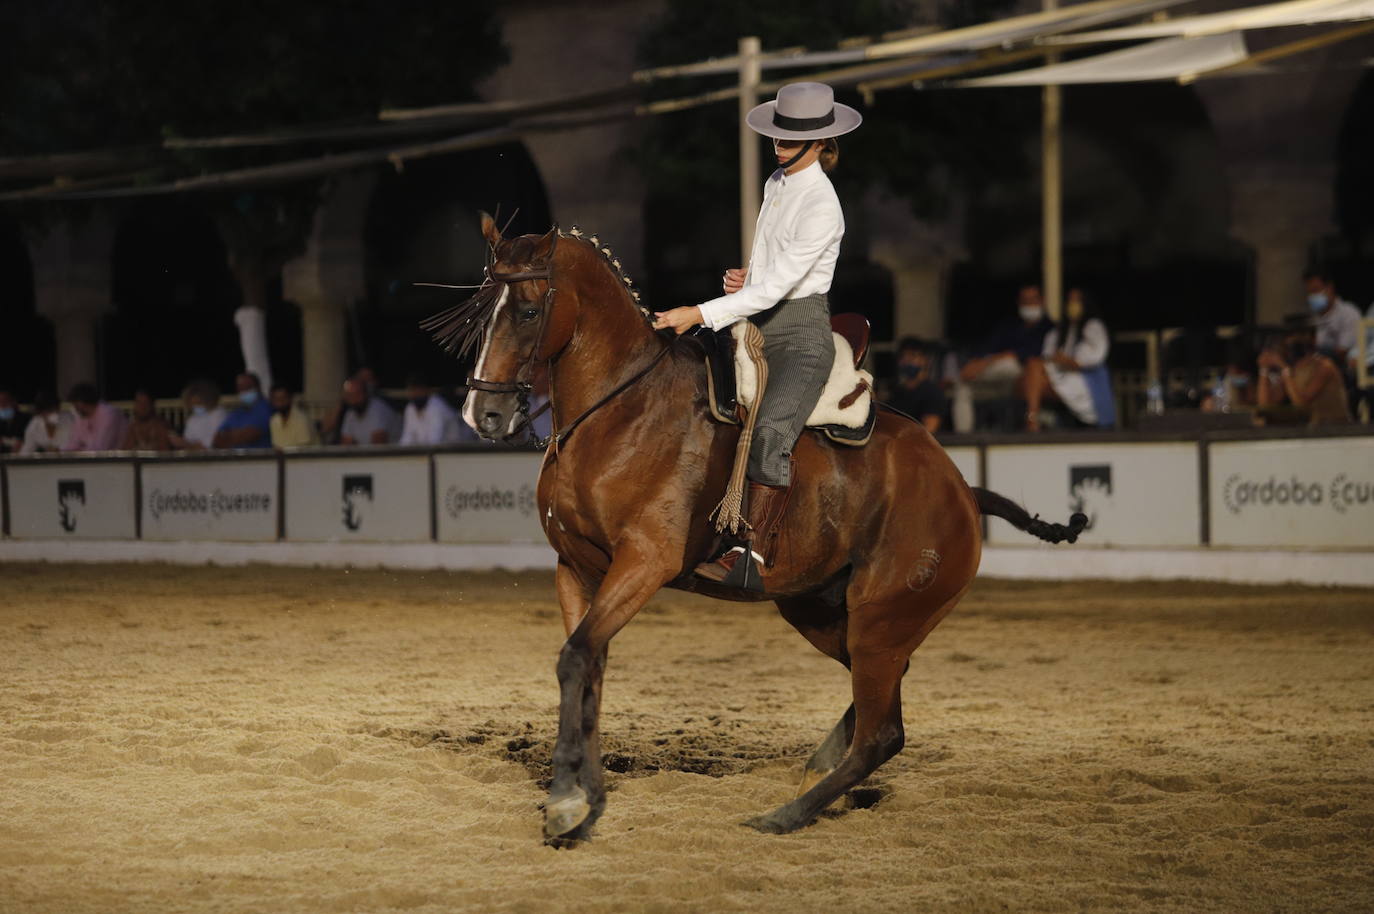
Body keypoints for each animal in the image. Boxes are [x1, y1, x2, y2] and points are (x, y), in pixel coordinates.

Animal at [436, 214, 1082, 841]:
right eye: (480, 309)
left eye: (528, 311)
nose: (483, 414)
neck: (624, 410)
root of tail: (962, 491)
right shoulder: (577, 567)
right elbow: (587, 665)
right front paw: (580, 798)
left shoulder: (644, 563)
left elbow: (576, 659)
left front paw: (568, 805)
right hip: (825, 613)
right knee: (884, 698)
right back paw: (817, 768)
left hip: (881, 622)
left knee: (884, 733)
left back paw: (785, 814)